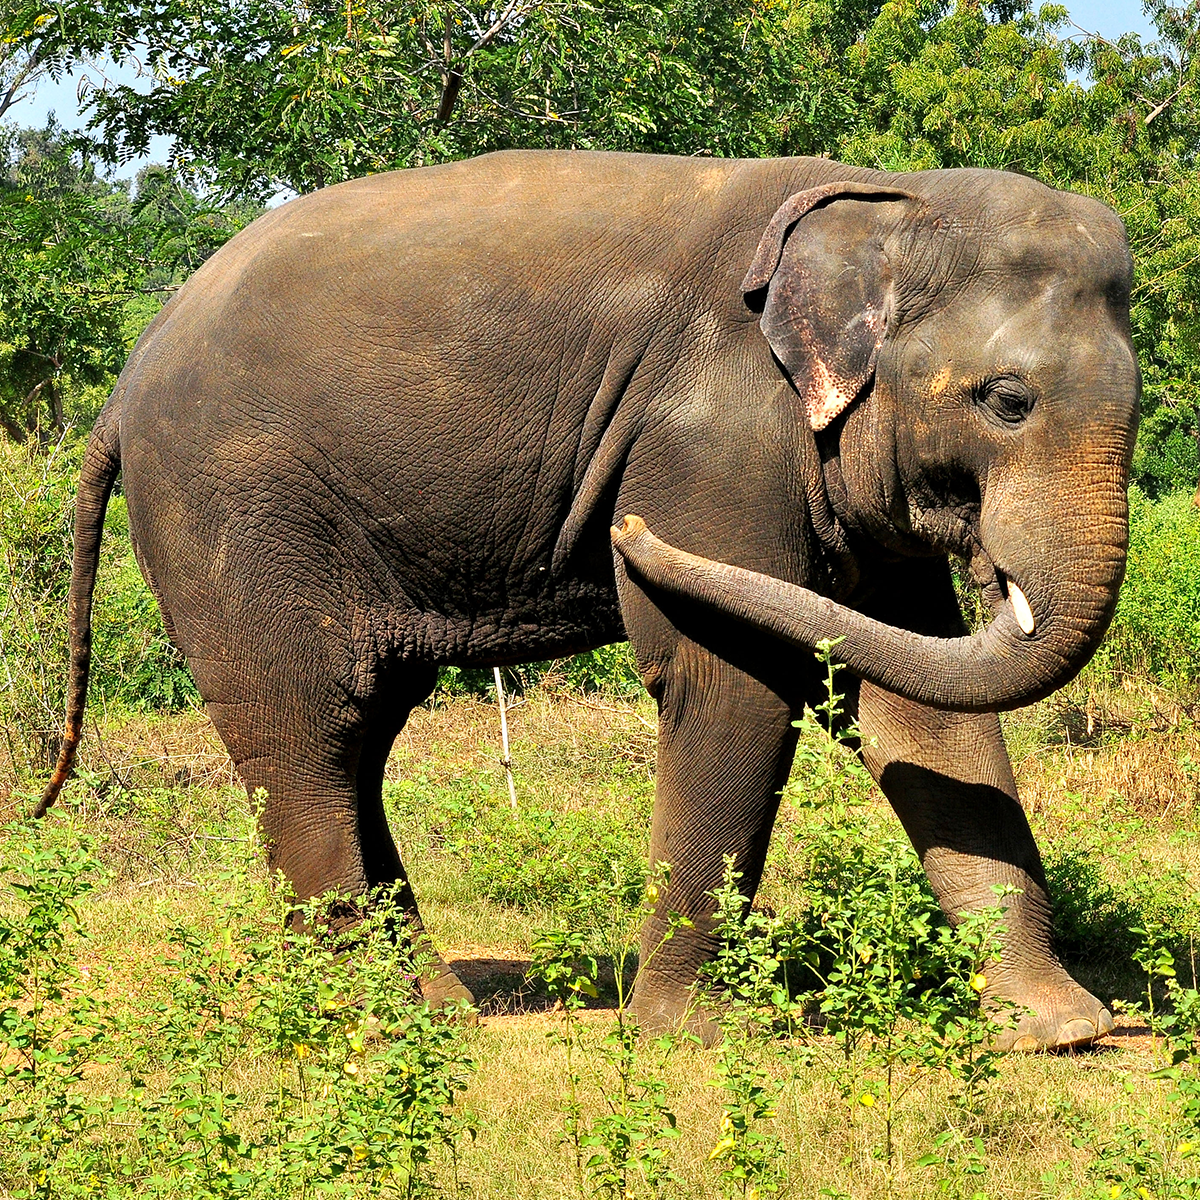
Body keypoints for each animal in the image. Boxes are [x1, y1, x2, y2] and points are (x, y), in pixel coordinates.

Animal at [39, 147, 1132, 1051]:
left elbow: (917, 702)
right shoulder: (710, 439)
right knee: (305, 733)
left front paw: (1060, 1030)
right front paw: (691, 1041)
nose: (623, 533)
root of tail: (125, 383)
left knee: (359, 737)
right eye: (1008, 400)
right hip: (234, 511)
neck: (887, 197)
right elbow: (730, 681)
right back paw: (380, 1027)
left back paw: (439, 1009)